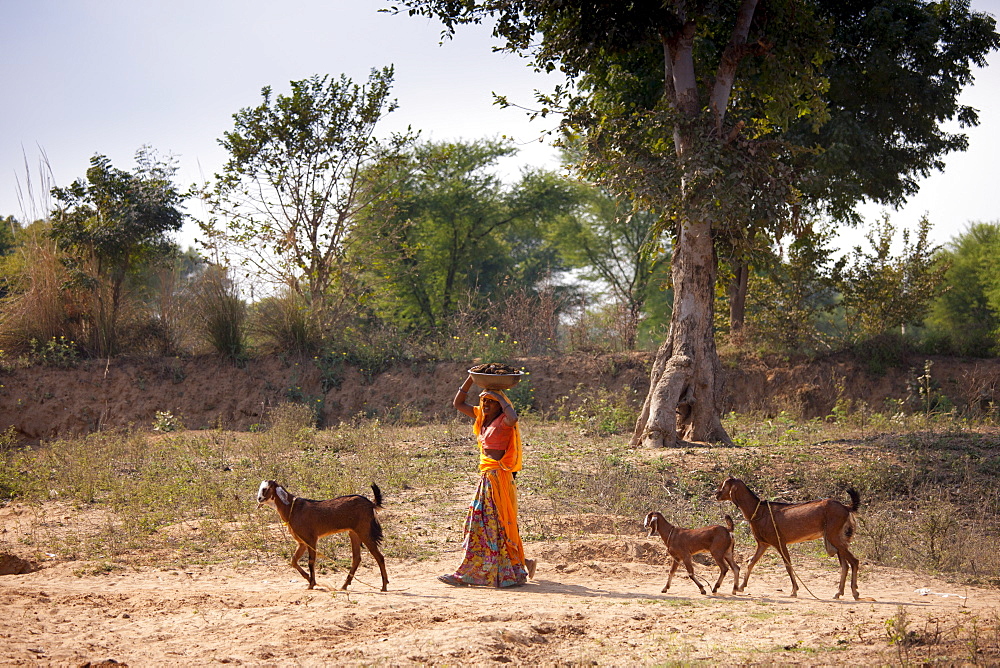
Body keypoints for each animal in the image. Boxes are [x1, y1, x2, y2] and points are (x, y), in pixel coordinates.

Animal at [256, 480, 388, 588]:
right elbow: (293, 561)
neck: (292, 509)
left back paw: (384, 586)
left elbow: (311, 561)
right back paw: (344, 586)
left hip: (364, 531)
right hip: (354, 533)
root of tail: (371, 503)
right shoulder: (302, 542)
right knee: (356, 558)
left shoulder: (311, 539)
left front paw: (311, 584)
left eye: (265, 489)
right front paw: (309, 579)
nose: (259, 499)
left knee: (379, 556)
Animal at [716, 474, 864, 600]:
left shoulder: (779, 542)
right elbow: (751, 562)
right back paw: (839, 592)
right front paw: (741, 587)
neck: (758, 511)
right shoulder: (763, 544)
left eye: (724, 485)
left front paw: (794, 590)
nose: (716, 494)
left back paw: (855, 592)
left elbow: (787, 564)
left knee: (854, 561)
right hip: (838, 537)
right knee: (845, 565)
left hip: (834, 536)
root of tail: (846, 507)